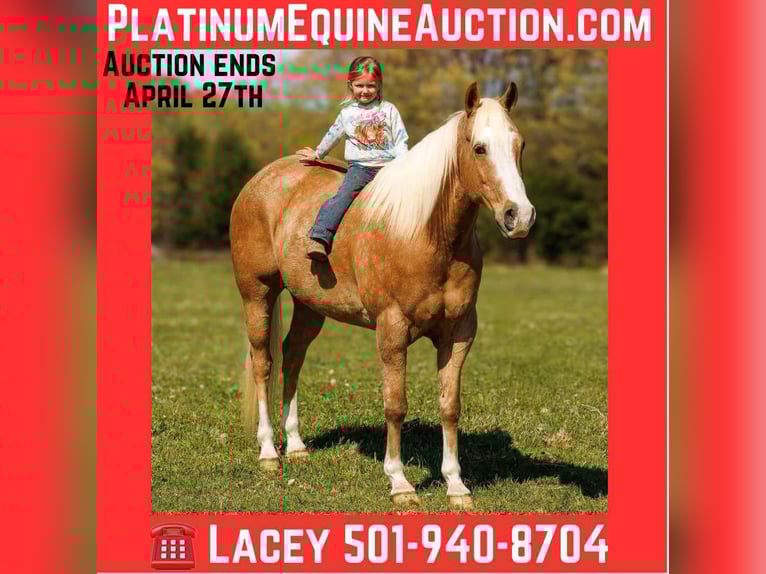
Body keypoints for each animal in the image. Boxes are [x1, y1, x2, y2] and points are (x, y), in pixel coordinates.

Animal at [230, 81, 535, 509]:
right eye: (479, 148)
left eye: (519, 144)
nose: (519, 216)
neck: (425, 233)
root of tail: (262, 180)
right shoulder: (392, 331)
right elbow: (395, 405)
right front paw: (400, 482)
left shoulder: (459, 334)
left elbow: (450, 406)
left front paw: (456, 485)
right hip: (257, 292)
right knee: (264, 362)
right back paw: (269, 452)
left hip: (310, 304)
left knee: (293, 357)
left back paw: (296, 446)